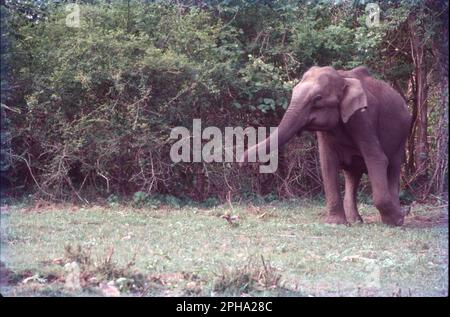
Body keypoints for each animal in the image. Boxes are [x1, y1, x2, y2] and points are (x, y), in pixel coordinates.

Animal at [243, 66, 412, 225]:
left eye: (318, 98)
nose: (241, 159)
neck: (343, 78)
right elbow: (327, 163)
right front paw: (336, 223)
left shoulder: (363, 118)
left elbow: (377, 158)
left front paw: (395, 221)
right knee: (353, 174)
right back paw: (355, 221)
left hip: (402, 136)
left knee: (393, 167)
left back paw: (397, 219)